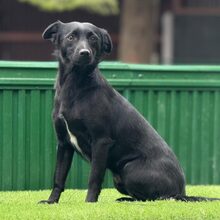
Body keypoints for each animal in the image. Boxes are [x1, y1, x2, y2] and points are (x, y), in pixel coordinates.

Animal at [40, 20, 220, 203]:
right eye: (71, 37)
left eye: (93, 38)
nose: (84, 53)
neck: (75, 86)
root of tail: (182, 191)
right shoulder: (64, 143)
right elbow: (58, 177)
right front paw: (51, 201)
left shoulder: (101, 141)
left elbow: (94, 177)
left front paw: (90, 203)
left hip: (130, 169)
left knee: (158, 198)